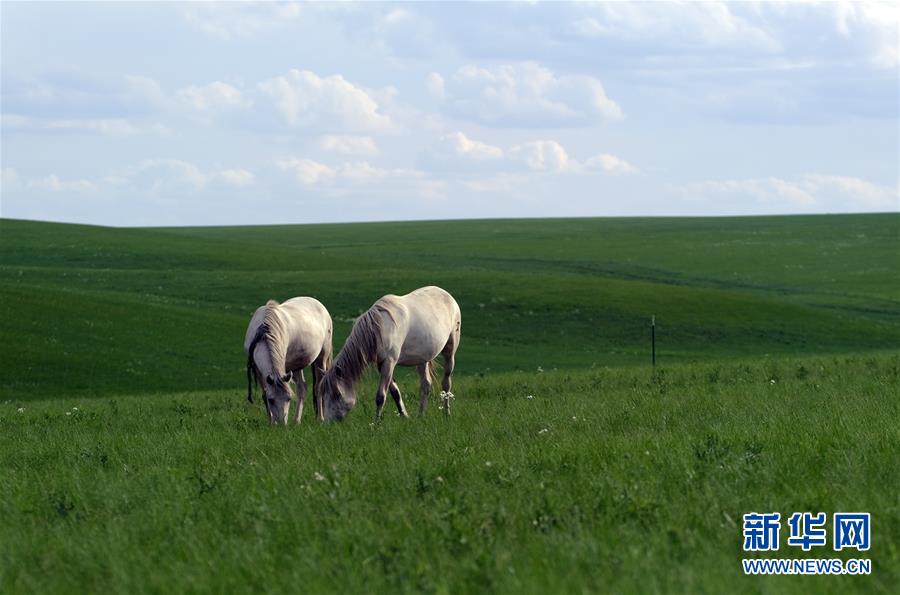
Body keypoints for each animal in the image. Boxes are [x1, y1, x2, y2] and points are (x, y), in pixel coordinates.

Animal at [244, 296, 332, 424]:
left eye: (289, 398)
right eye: (271, 400)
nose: (281, 424)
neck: (265, 333)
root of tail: (319, 304)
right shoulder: (257, 369)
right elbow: (264, 393)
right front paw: (271, 422)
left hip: (322, 358)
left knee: (319, 387)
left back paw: (320, 418)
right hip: (297, 365)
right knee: (302, 388)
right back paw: (296, 420)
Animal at [320, 286, 460, 422]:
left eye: (337, 394)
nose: (329, 422)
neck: (380, 328)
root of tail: (448, 295)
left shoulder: (389, 362)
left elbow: (381, 396)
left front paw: (376, 422)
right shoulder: (382, 363)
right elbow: (395, 392)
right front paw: (404, 415)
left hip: (450, 351)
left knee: (446, 384)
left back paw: (447, 413)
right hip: (422, 358)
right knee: (425, 385)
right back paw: (421, 415)